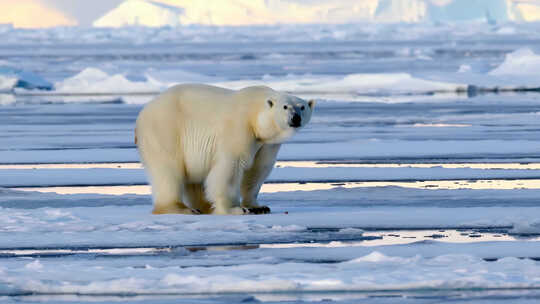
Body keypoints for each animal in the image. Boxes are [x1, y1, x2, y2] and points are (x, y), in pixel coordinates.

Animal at [135, 84, 314, 215]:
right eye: (285, 107)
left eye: (302, 107)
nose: (295, 118)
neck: (255, 114)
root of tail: (142, 113)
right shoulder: (239, 127)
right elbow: (231, 166)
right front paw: (236, 208)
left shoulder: (267, 144)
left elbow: (258, 170)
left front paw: (258, 207)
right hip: (166, 131)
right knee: (169, 170)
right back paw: (180, 208)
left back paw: (204, 206)